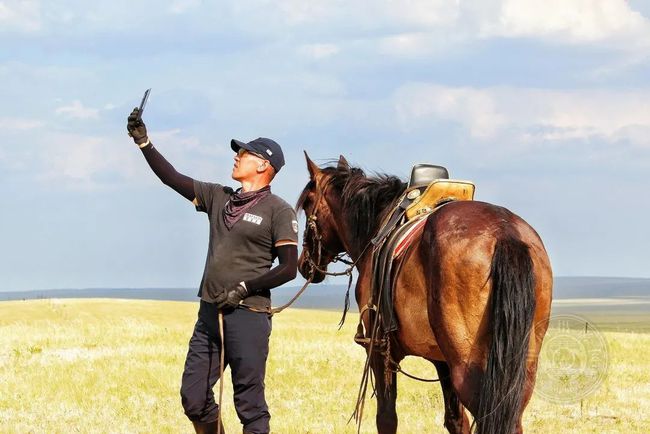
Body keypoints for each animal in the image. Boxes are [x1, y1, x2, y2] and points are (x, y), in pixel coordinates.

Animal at [294, 155, 552, 434]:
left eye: (307, 204)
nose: (304, 264)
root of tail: (504, 232)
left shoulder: (380, 350)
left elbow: (386, 418)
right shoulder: (442, 360)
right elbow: (455, 420)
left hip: (471, 370)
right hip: (520, 371)